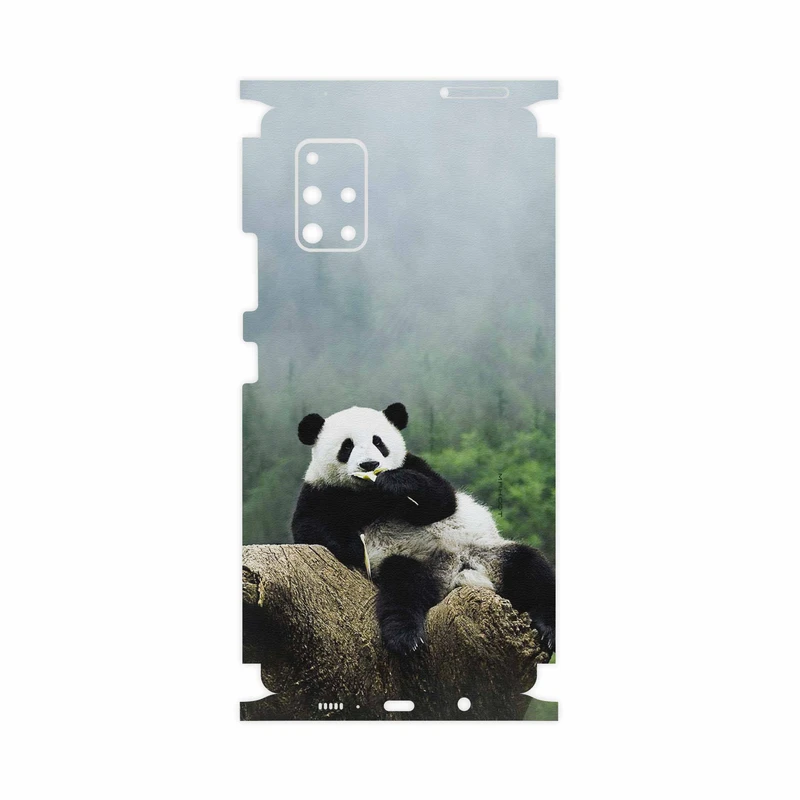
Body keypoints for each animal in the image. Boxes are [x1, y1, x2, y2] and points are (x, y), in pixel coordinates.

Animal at [291, 402, 556, 656]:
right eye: (347, 446)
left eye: (379, 442)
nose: (370, 464)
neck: (368, 493)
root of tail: (456, 574)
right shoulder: (321, 491)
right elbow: (309, 527)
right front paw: (355, 547)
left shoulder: (415, 465)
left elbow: (442, 500)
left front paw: (395, 483)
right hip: (411, 561)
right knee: (403, 588)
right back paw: (405, 637)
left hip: (489, 553)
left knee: (531, 569)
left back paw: (548, 629)